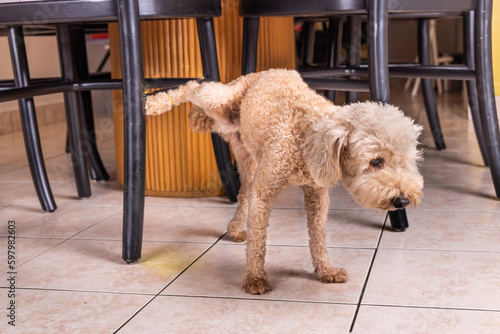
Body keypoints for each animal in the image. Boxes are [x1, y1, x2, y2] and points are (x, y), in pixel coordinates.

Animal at [145, 69, 422, 294]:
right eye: (376, 161)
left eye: (406, 161)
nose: (402, 200)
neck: (307, 136)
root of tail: (261, 72)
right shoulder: (265, 191)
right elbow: (258, 241)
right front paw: (254, 278)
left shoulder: (316, 194)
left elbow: (317, 236)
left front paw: (325, 269)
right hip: (220, 99)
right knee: (194, 86)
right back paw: (155, 103)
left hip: (245, 156)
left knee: (242, 192)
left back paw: (234, 228)